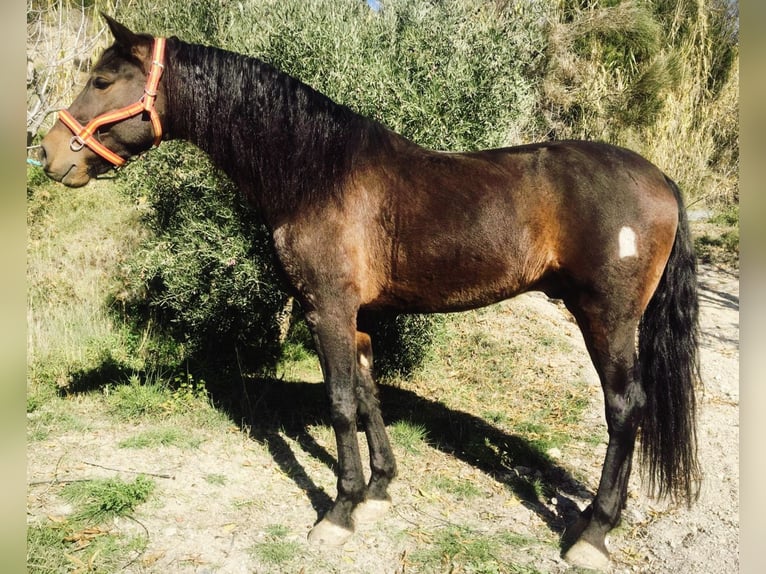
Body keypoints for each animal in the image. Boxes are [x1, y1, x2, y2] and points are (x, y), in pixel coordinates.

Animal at [40, 16, 701, 570]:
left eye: (102, 79)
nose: (48, 154)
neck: (315, 173)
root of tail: (663, 179)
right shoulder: (352, 316)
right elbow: (366, 393)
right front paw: (380, 489)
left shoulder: (325, 309)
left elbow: (338, 403)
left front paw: (339, 512)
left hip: (607, 319)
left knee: (624, 409)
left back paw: (592, 533)